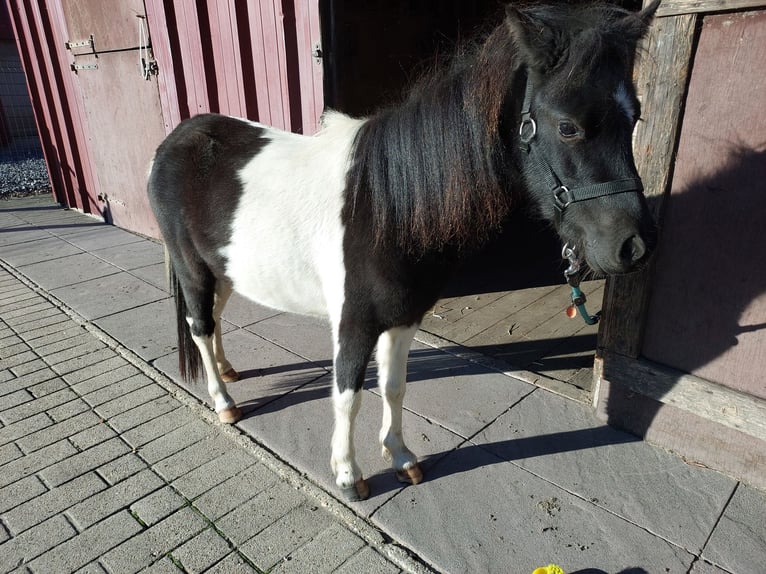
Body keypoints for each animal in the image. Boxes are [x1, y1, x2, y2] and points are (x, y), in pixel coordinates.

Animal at [147, 2, 664, 502]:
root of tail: (175, 140)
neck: (385, 205)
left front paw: (401, 458)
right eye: (568, 127)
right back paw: (224, 402)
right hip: (192, 269)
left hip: (223, 269)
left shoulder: (403, 316)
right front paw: (348, 476)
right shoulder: (354, 322)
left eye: (635, 117)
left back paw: (229, 372)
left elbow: (393, 387)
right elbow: (348, 394)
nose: (633, 247)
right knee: (199, 326)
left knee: (214, 318)